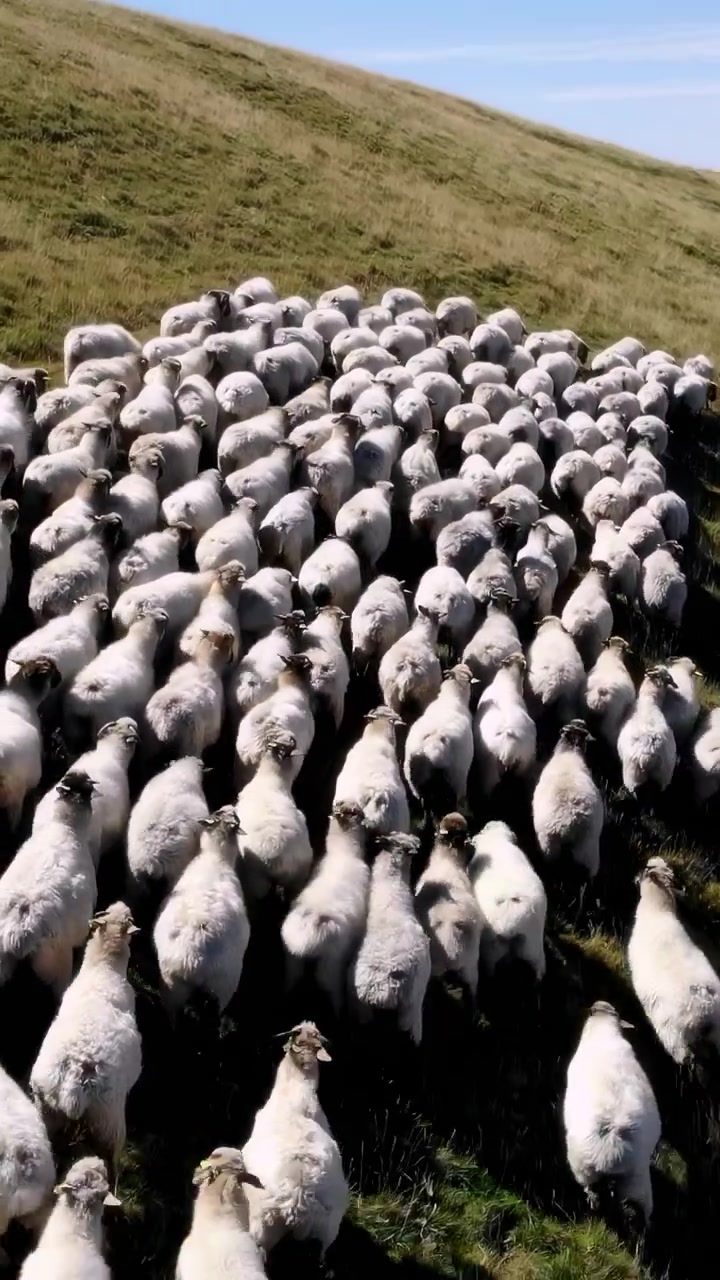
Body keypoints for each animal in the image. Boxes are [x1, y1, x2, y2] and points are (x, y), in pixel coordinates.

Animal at [154, 807, 249, 1014]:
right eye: (220, 810)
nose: (232, 807)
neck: (216, 856)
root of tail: (194, 960)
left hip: (178, 987)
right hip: (217, 990)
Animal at [281, 800, 371, 1008]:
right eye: (356, 812)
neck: (344, 853)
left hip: (292, 962)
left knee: (291, 982)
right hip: (330, 968)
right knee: (333, 994)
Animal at [563, 1001, 660, 1224]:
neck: (603, 1031)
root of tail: (612, 1148)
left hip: (584, 1169)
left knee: (594, 1195)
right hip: (635, 1181)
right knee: (637, 1209)